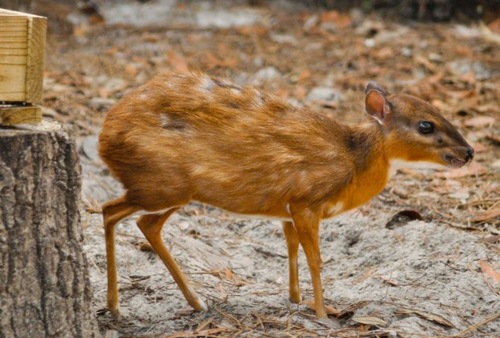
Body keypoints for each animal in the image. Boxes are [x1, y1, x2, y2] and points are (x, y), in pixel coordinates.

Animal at [99, 71, 474, 316]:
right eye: (426, 125)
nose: (468, 152)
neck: (353, 162)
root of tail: (105, 137)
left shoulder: (287, 208)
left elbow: (291, 248)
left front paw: (297, 300)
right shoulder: (308, 200)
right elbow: (316, 259)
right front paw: (324, 312)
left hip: (172, 190)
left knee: (145, 224)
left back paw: (192, 302)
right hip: (163, 185)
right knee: (110, 211)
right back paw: (117, 306)